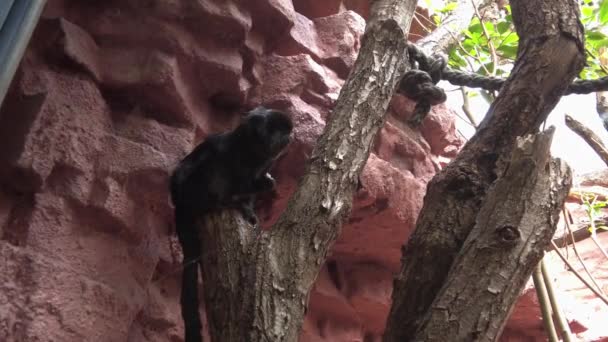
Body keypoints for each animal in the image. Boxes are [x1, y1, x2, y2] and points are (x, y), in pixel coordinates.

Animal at [171, 106, 294, 342]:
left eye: (286, 129)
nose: (290, 134)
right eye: (278, 129)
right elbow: (191, 166)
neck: (251, 155)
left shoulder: (262, 165)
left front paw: (254, 200)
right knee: (208, 170)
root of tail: (181, 209)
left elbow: (255, 187)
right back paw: (222, 202)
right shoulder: (222, 146)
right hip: (192, 190)